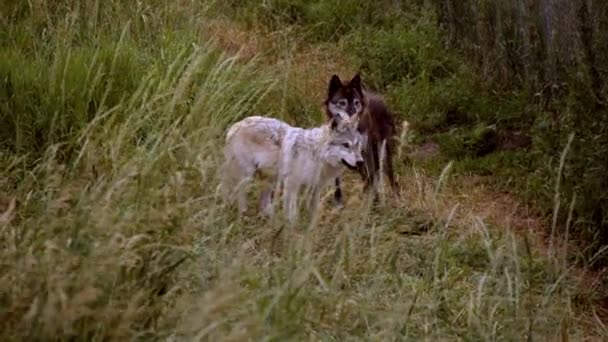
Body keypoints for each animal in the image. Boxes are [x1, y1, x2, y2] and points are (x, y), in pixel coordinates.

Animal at [220, 113, 360, 223]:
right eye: (346, 145)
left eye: (357, 145)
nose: (360, 162)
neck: (316, 154)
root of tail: (237, 125)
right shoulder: (292, 185)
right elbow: (292, 213)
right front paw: (292, 230)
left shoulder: (316, 188)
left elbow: (313, 213)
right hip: (247, 177)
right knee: (240, 197)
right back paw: (244, 217)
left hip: (271, 180)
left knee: (263, 203)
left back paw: (270, 218)